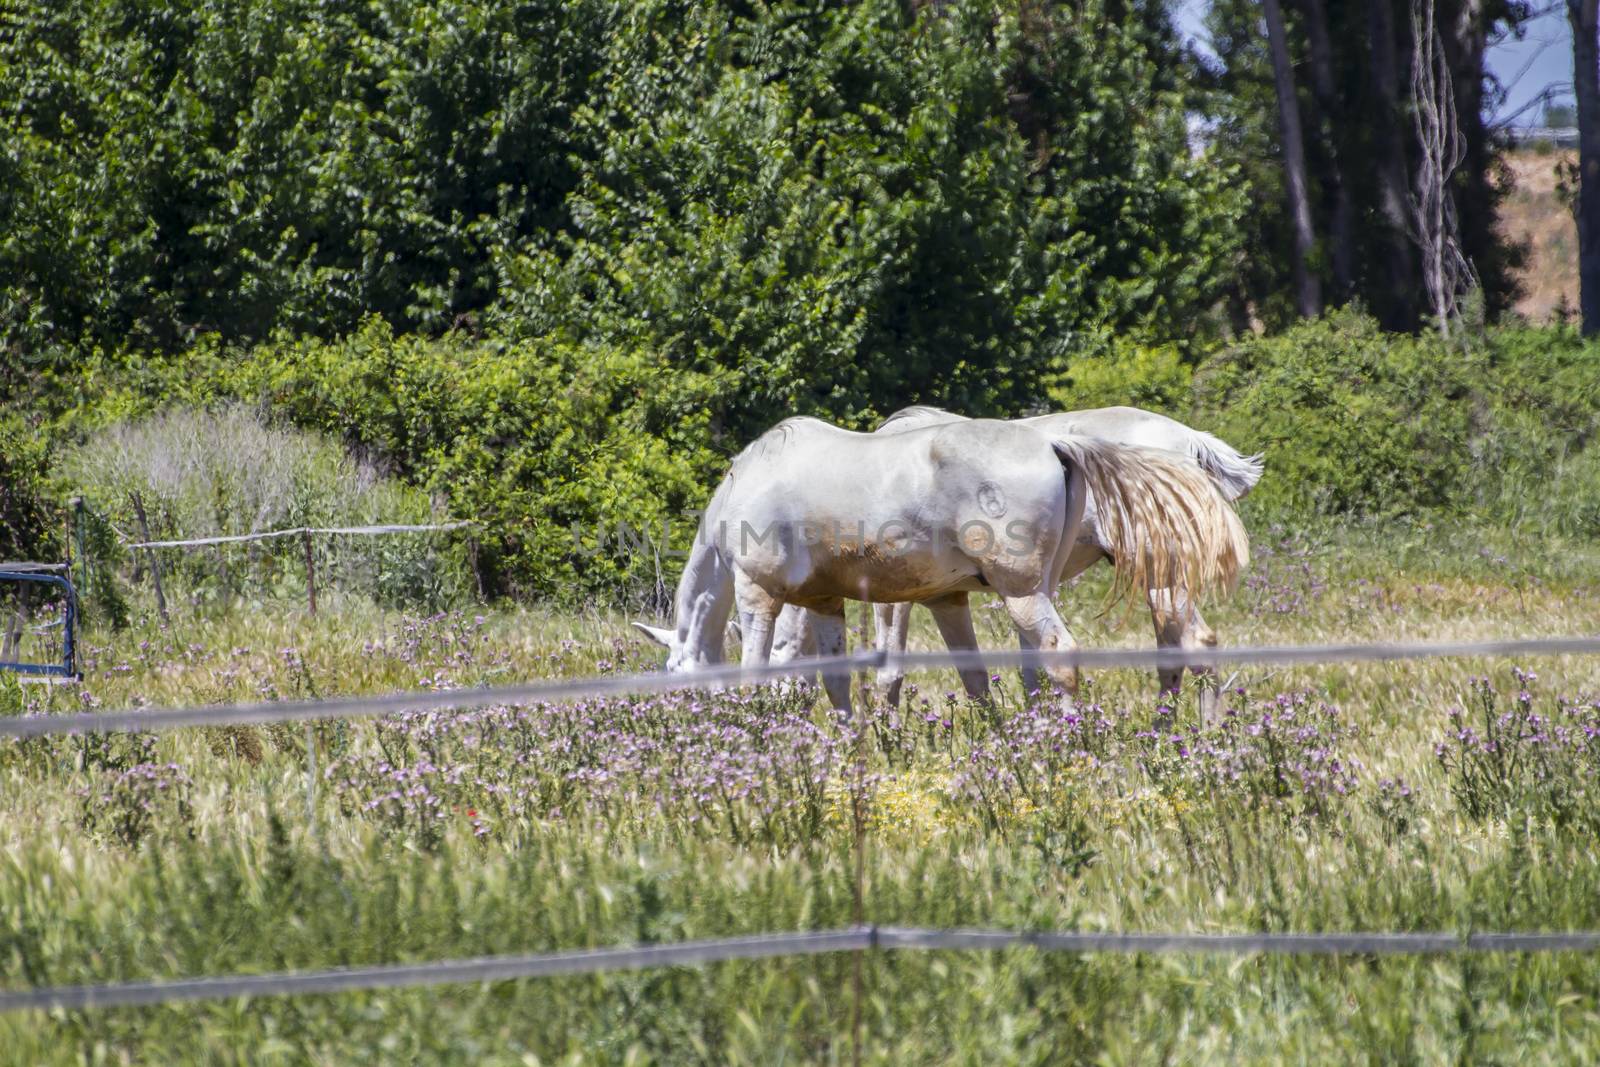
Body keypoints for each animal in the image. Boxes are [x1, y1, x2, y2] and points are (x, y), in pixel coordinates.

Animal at [630, 415, 1241, 710]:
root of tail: (1056, 446)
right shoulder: (826, 602)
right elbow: (837, 683)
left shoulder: (760, 595)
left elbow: (759, 672)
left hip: (1029, 590)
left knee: (1064, 655)